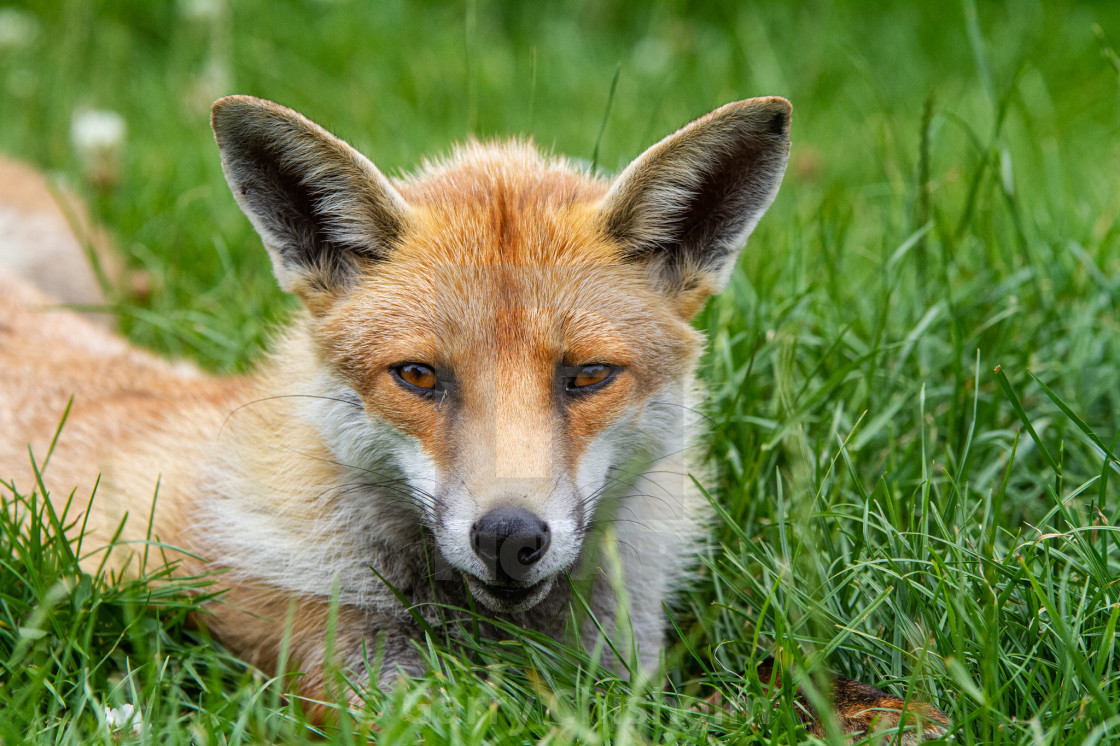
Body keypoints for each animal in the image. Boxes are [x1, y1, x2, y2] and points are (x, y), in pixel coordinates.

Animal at [0, 94, 945, 739]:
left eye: (587, 375)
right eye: (419, 377)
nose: (510, 536)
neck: (504, 641)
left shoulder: (629, 666)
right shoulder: (370, 687)